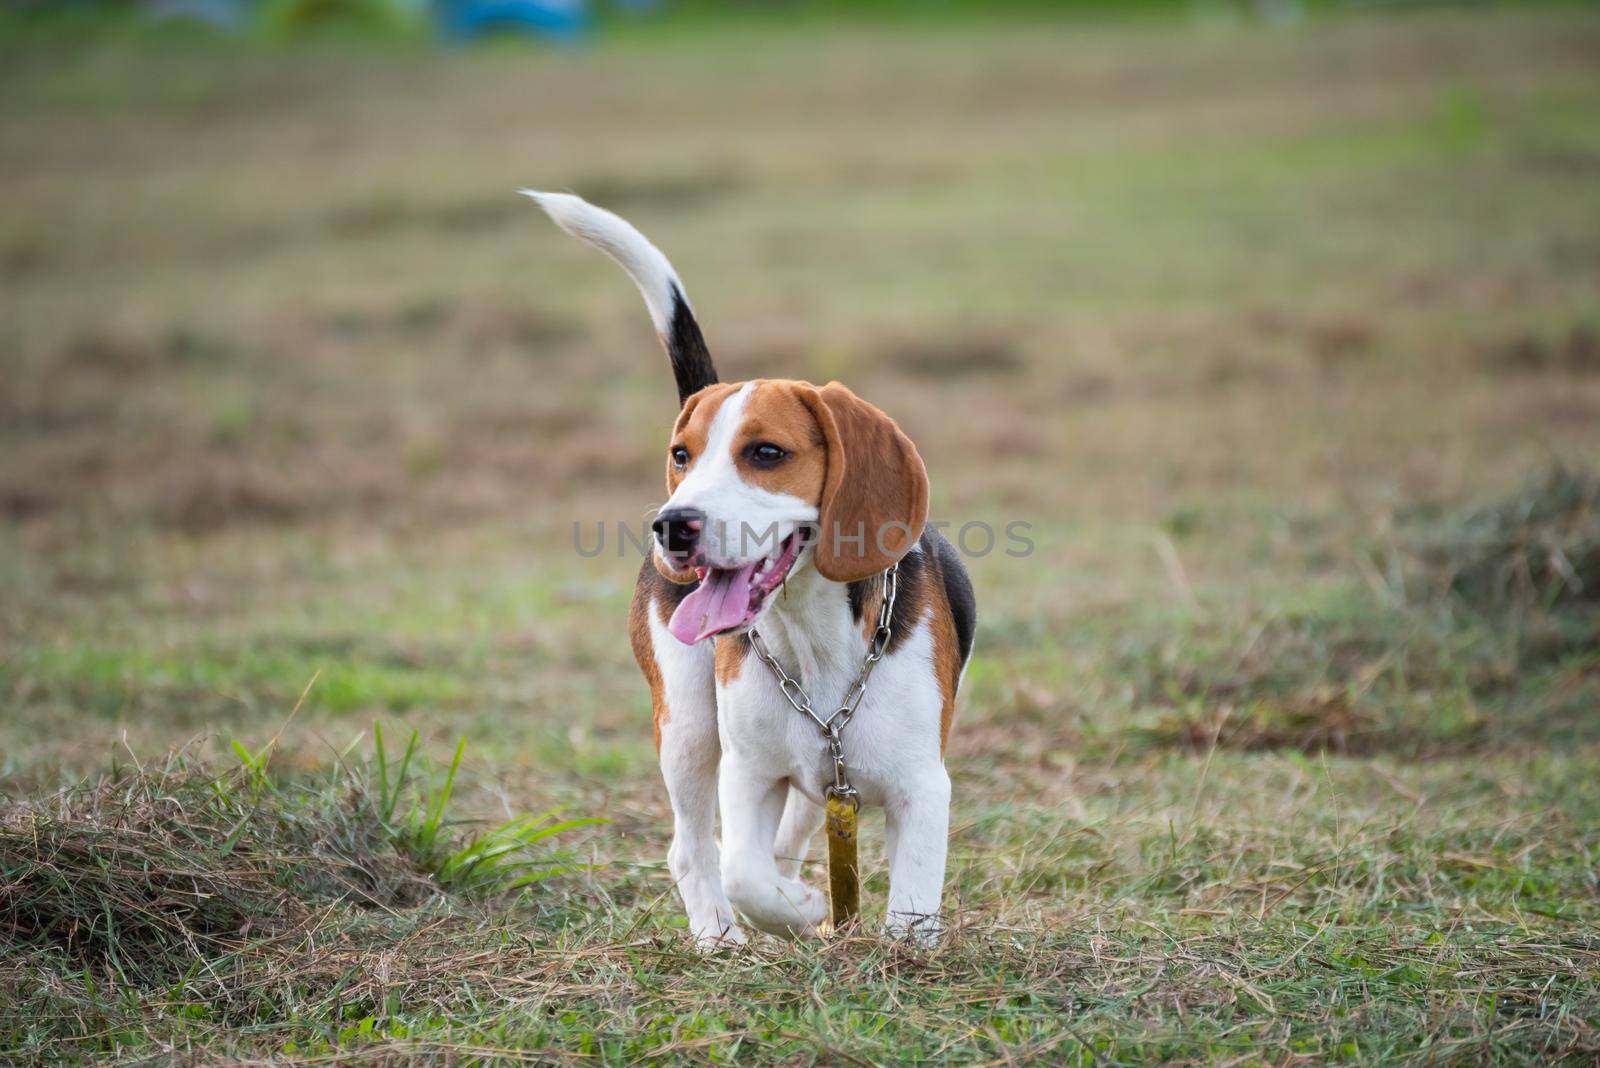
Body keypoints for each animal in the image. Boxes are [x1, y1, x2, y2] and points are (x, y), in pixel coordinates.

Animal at [524, 191, 972, 940]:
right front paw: (803, 909)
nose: (672, 525)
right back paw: (719, 935)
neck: (813, 642)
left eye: (766, 453)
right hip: (686, 727)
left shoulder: (919, 786)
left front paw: (890, 946)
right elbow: (744, 872)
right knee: (693, 848)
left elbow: (910, 905)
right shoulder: (749, 774)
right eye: (681, 455)